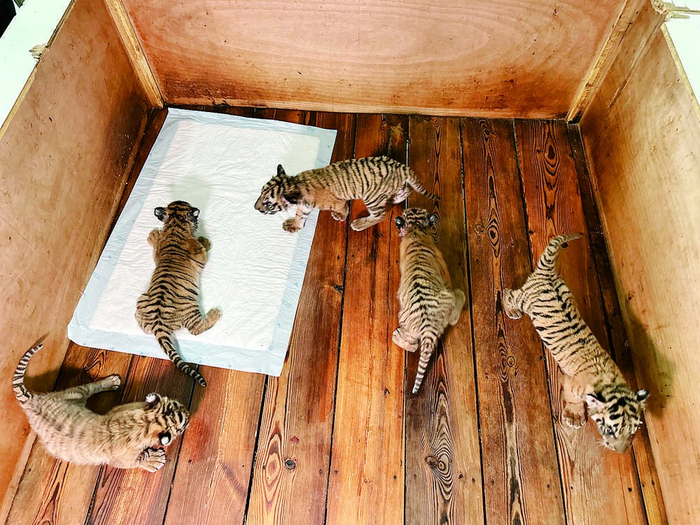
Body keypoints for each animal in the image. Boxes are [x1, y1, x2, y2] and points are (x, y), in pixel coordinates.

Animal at [13, 341, 189, 471]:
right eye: (183, 425)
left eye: (178, 404)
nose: (188, 412)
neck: (145, 423)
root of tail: (31, 400)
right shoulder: (121, 460)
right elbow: (138, 460)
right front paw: (155, 460)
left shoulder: (119, 409)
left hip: (74, 394)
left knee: (91, 386)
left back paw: (112, 381)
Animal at [135, 200, 220, 387]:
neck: (174, 226)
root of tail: (158, 324)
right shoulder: (200, 257)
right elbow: (203, 249)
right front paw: (205, 240)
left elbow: (155, 243)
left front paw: (153, 235)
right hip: (191, 308)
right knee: (197, 329)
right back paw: (216, 313)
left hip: (141, 299)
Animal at [254, 156, 439, 233]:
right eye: (260, 193)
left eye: (268, 203)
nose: (255, 208)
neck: (294, 184)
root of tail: (402, 167)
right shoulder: (304, 205)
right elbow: (301, 216)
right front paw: (294, 225)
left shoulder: (338, 202)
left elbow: (343, 210)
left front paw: (340, 217)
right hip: (393, 187)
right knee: (406, 190)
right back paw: (393, 198)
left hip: (371, 198)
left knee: (380, 215)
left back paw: (359, 224)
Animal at [503, 233, 648, 453]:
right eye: (610, 430)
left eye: (633, 430)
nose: (621, 451)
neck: (611, 384)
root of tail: (546, 274)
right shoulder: (571, 385)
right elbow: (573, 400)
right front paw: (574, 416)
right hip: (523, 300)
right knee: (507, 293)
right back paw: (510, 310)